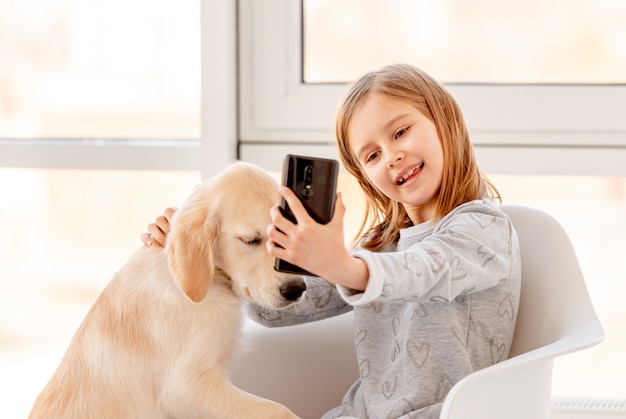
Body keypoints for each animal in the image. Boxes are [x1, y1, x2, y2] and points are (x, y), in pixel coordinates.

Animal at [29, 162, 304, 418]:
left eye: (288, 235)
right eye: (250, 240)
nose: (297, 289)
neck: (206, 282)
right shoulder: (186, 387)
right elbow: (279, 410)